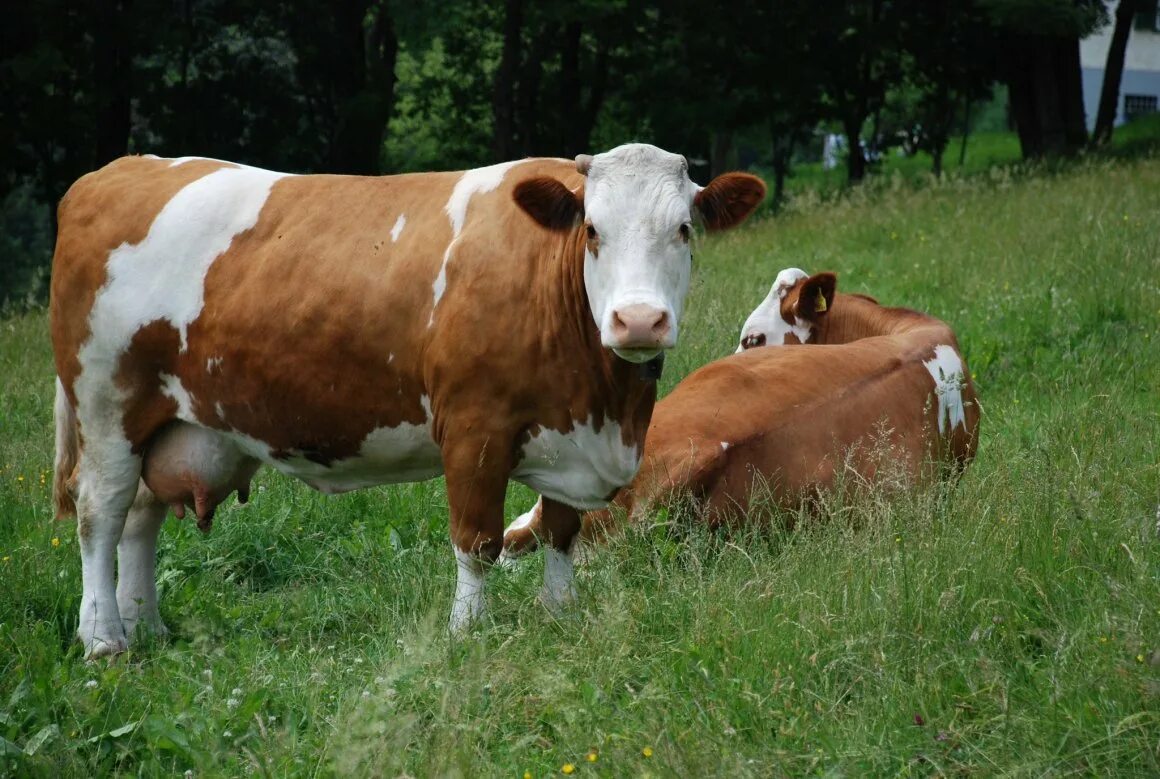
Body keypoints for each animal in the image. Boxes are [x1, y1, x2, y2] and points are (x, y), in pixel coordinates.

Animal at [52, 146, 770, 658]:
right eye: (592, 229)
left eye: (684, 229)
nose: (639, 320)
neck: (604, 401)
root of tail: (117, 169)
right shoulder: (475, 428)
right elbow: (477, 540)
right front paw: (467, 631)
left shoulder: (571, 438)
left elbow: (561, 530)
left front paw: (560, 612)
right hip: (106, 404)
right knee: (101, 513)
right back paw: (104, 639)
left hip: (166, 421)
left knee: (140, 518)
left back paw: (147, 628)